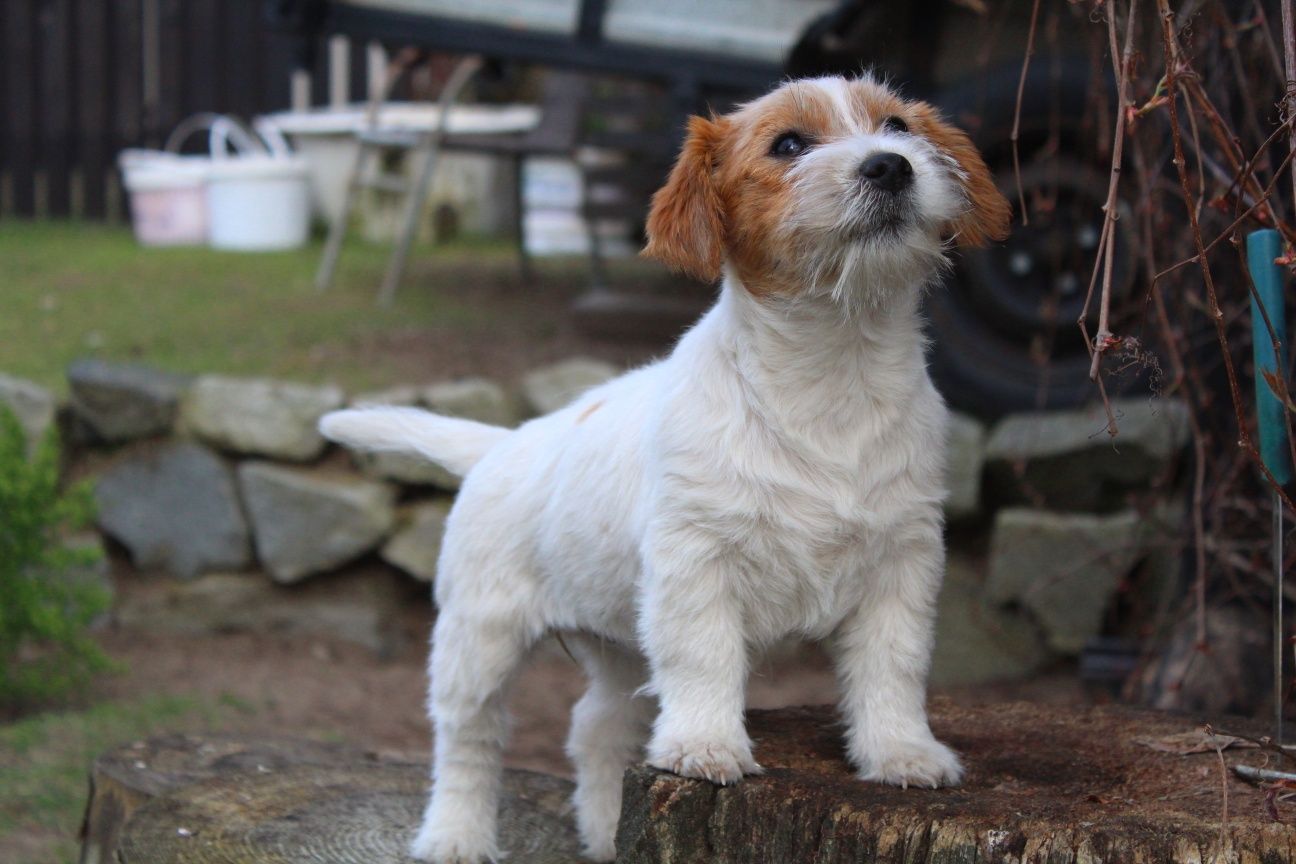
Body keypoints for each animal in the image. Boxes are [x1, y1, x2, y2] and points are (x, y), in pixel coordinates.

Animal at [321, 76, 1010, 864]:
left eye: (897, 125)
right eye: (789, 144)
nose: (891, 165)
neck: (835, 369)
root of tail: (505, 443)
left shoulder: (904, 562)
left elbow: (893, 666)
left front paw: (901, 752)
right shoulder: (694, 564)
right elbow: (705, 658)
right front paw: (706, 746)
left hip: (618, 638)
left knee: (596, 725)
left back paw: (600, 832)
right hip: (479, 637)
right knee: (470, 739)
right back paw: (455, 834)